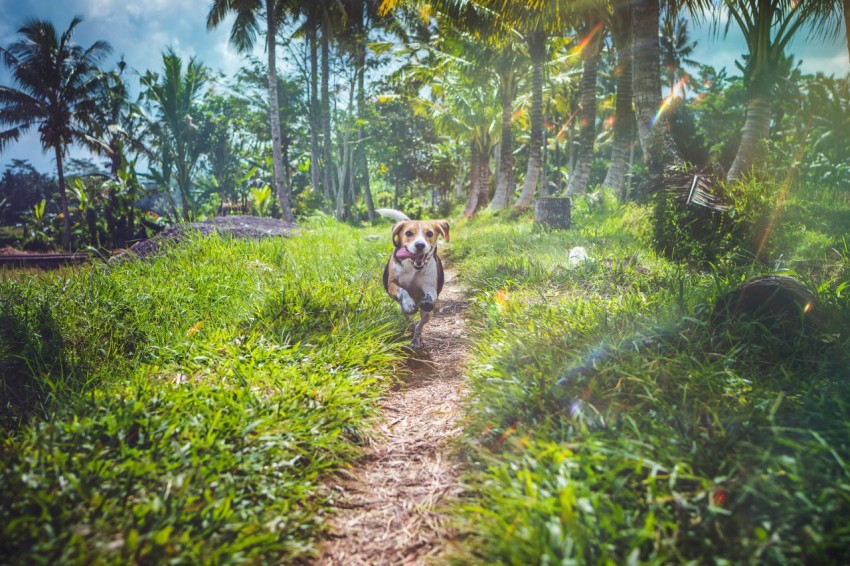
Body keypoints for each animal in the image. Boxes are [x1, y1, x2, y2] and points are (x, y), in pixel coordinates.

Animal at [374, 211, 448, 348]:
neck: (413, 268)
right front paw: (409, 303)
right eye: (408, 233)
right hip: (402, 310)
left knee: (420, 325)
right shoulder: (392, 284)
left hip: (428, 314)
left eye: (429, 233)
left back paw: (416, 339)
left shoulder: (429, 285)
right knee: (410, 321)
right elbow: (402, 290)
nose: (420, 245)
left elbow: (431, 293)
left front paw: (428, 300)